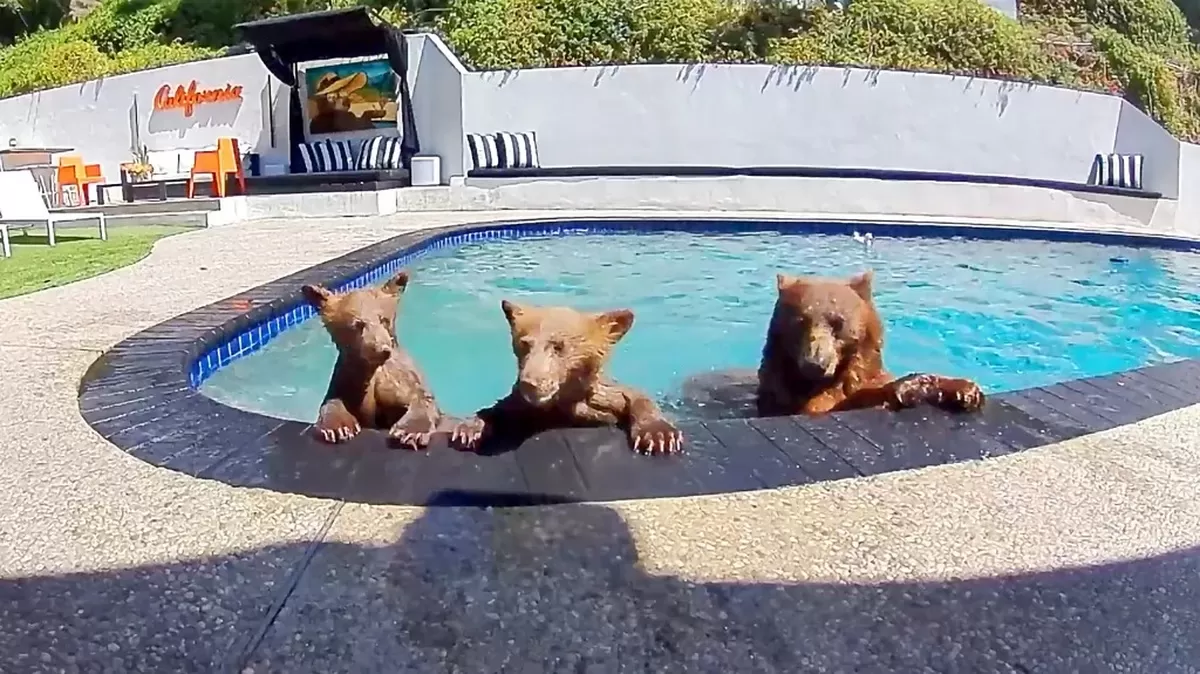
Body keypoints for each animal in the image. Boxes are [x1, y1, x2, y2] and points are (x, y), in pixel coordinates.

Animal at [301, 270, 443, 449]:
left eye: (383, 319)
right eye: (357, 324)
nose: (382, 349)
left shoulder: (401, 376)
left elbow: (420, 397)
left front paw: (410, 431)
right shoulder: (348, 378)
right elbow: (334, 400)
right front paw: (339, 427)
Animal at [449, 300, 684, 455]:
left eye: (558, 346)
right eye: (525, 344)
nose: (529, 383)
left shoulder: (600, 395)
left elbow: (633, 395)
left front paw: (659, 435)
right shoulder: (526, 404)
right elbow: (501, 408)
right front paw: (470, 428)